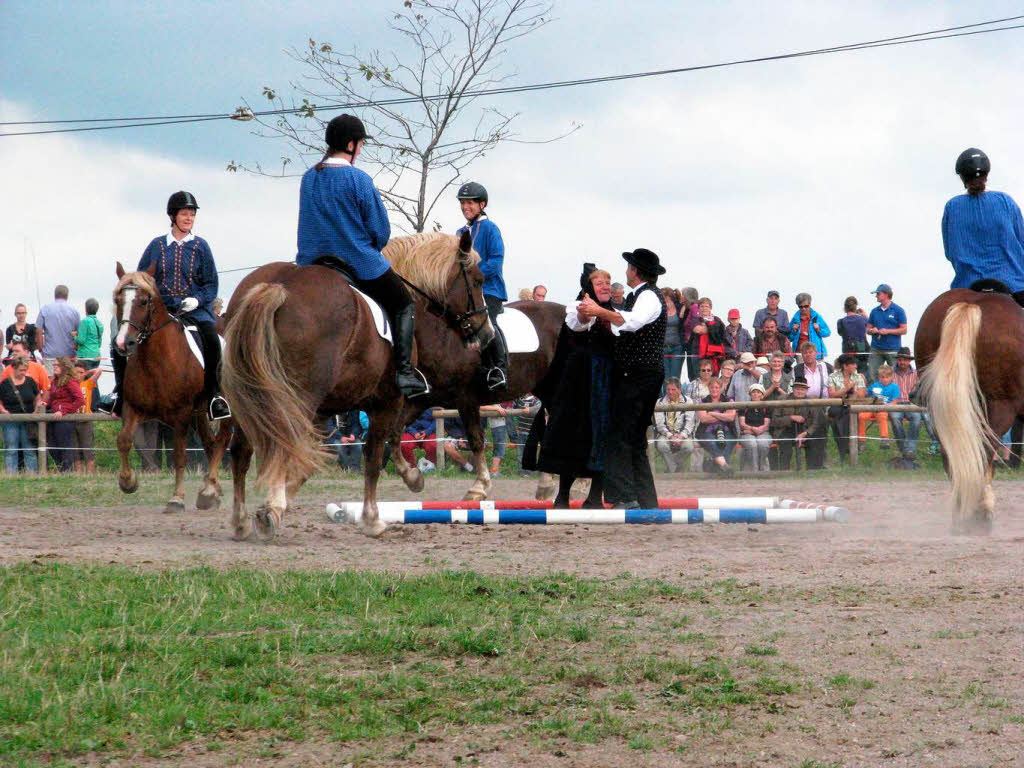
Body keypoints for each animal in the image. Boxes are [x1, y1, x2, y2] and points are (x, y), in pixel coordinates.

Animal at [112, 264, 232, 518]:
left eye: (144, 301)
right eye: (118, 300)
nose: (123, 343)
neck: (156, 361)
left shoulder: (181, 415)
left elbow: (179, 455)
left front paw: (176, 498)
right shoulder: (133, 408)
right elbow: (124, 440)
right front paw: (128, 482)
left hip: (225, 411)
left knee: (222, 440)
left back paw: (209, 489)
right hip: (200, 414)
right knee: (210, 443)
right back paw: (212, 492)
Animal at [913, 288, 1024, 536]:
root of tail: (972, 303)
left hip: (941, 411)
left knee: (953, 456)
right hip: (999, 406)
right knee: (983, 453)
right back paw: (979, 516)